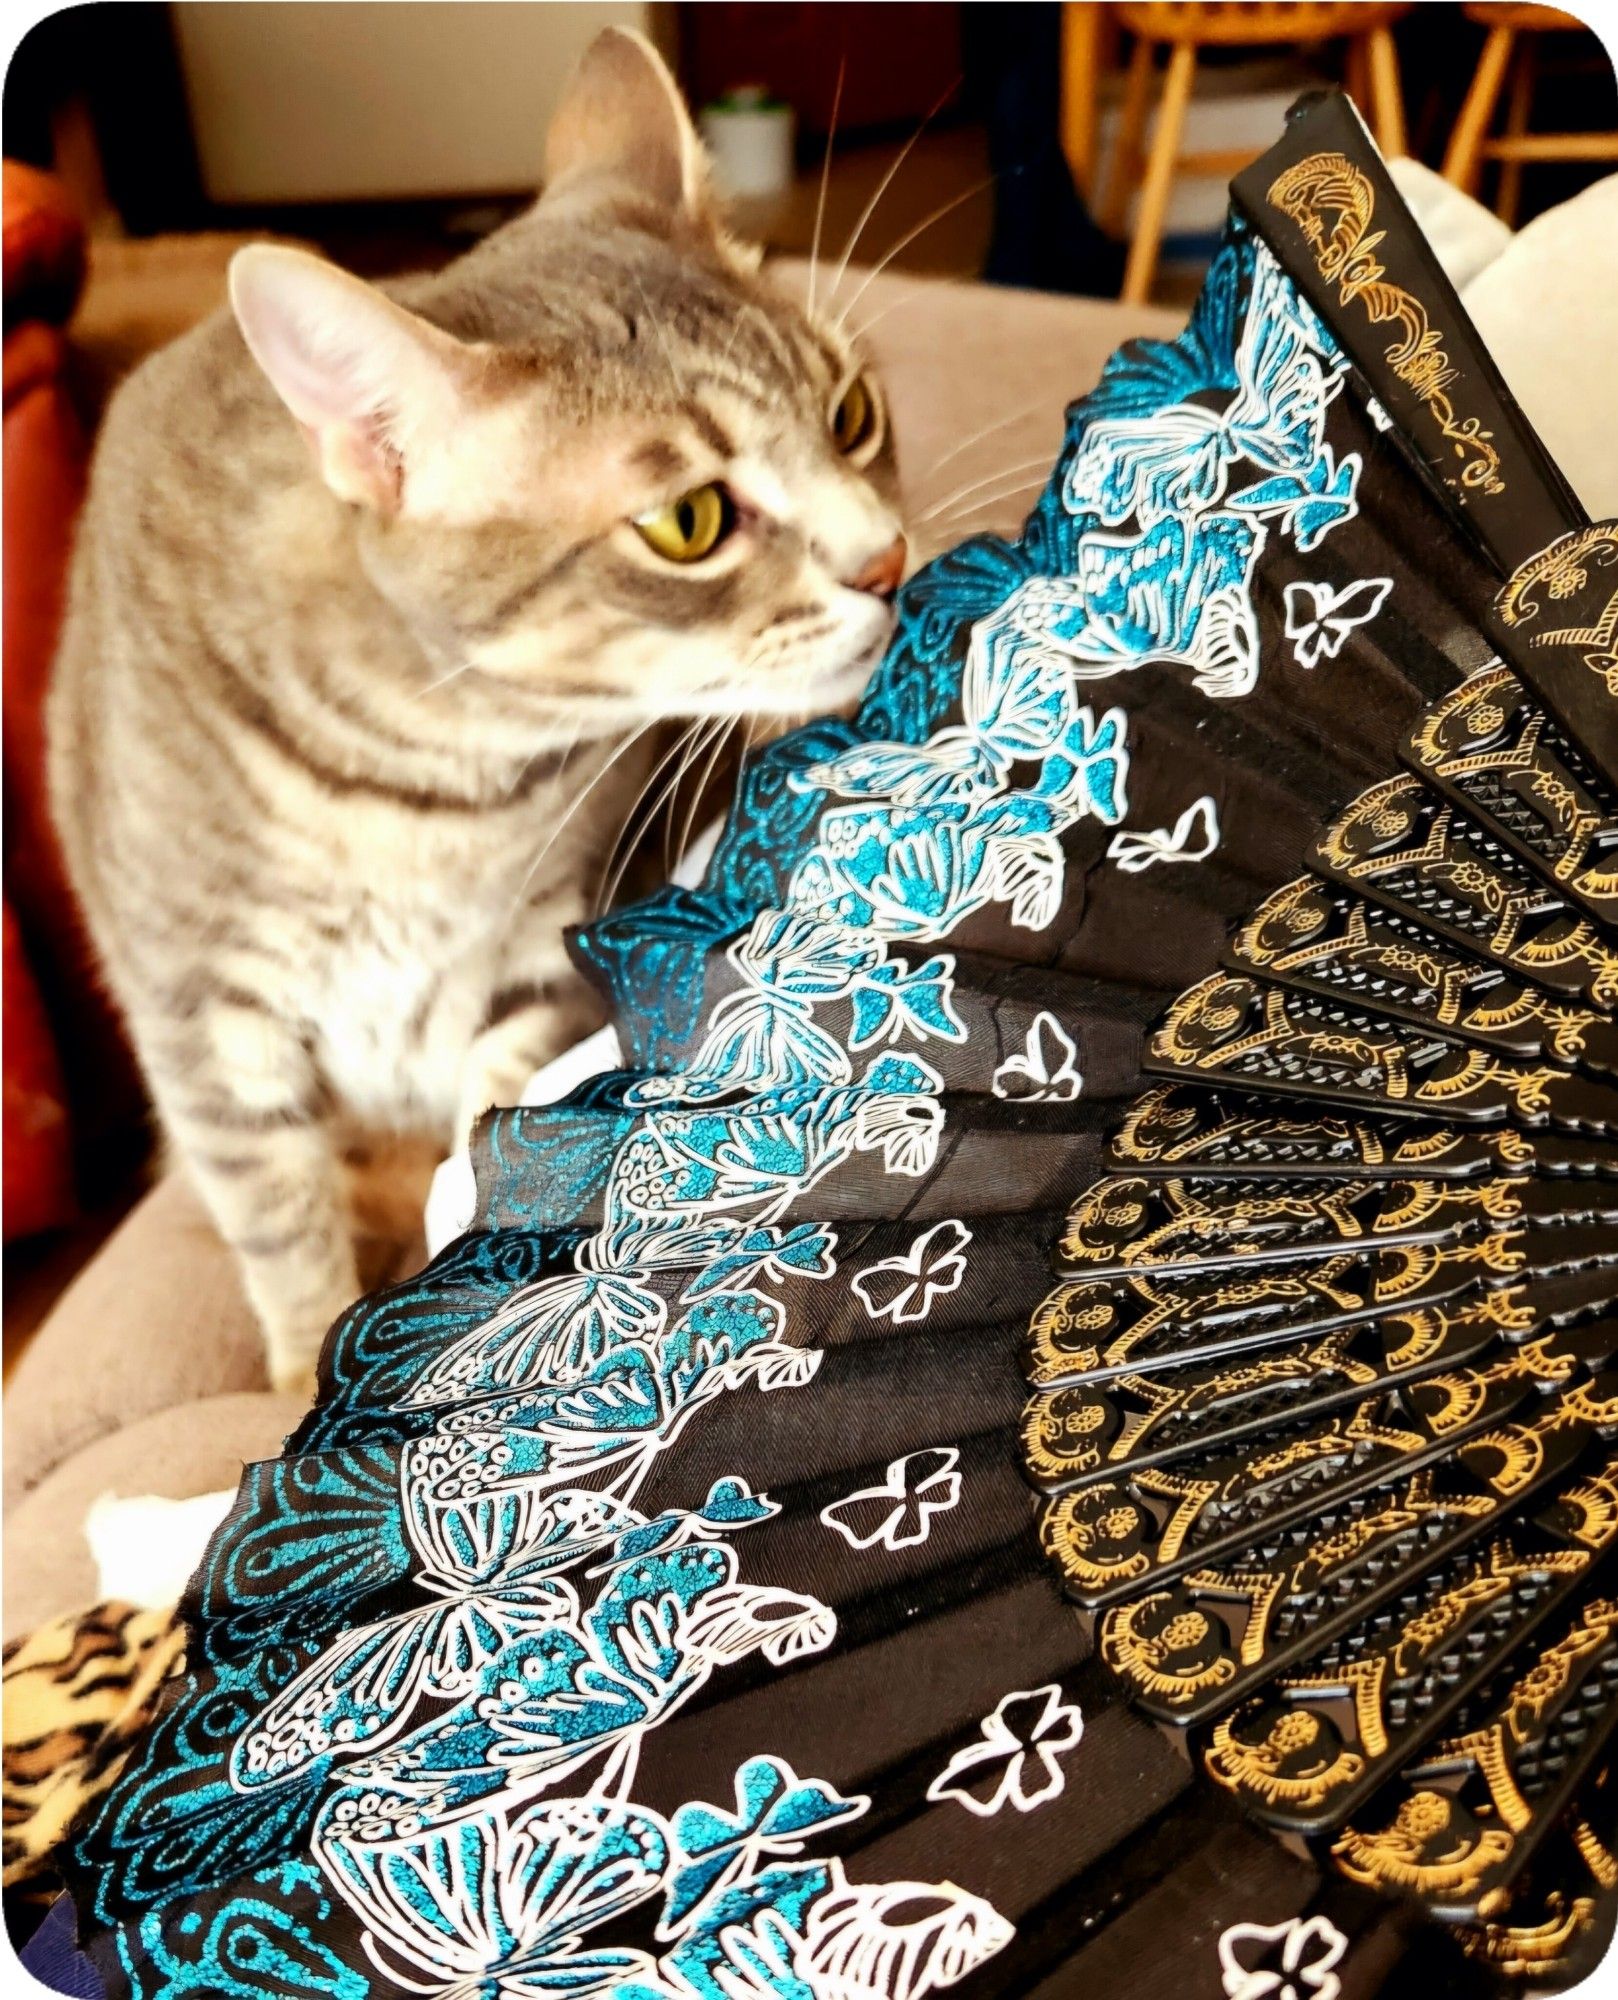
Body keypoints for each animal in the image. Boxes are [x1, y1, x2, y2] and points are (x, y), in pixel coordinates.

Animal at [50, 39, 904, 1400]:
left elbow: (493, 1130)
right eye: (689, 522)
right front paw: (297, 1371)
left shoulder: (540, 952)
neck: (436, 794)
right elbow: (274, 1212)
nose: (889, 561)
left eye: (851, 414)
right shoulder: (200, 1011)